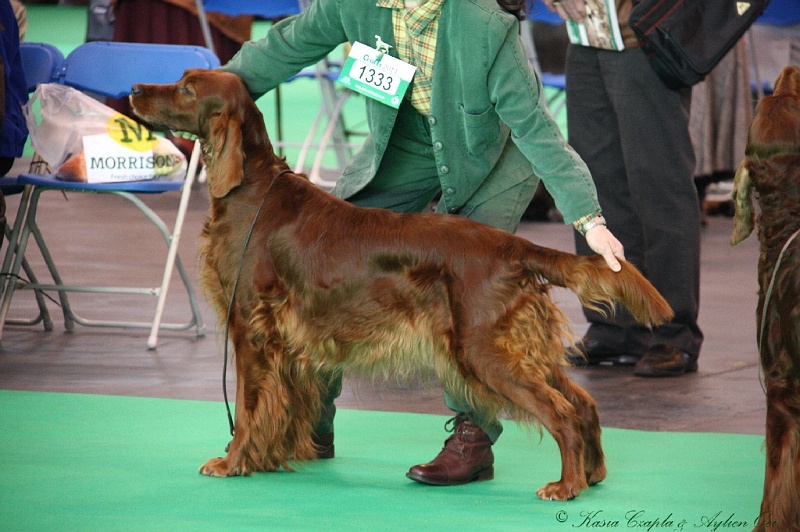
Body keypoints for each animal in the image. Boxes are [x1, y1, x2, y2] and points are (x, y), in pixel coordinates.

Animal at [130, 68, 676, 500]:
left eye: (186, 88)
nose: (133, 88)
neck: (252, 186)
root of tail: (512, 246)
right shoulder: (287, 341)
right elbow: (280, 406)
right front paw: (272, 457)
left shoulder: (250, 328)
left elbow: (246, 407)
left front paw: (232, 461)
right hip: (516, 344)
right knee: (583, 401)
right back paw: (593, 474)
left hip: (482, 348)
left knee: (560, 410)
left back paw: (566, 485)